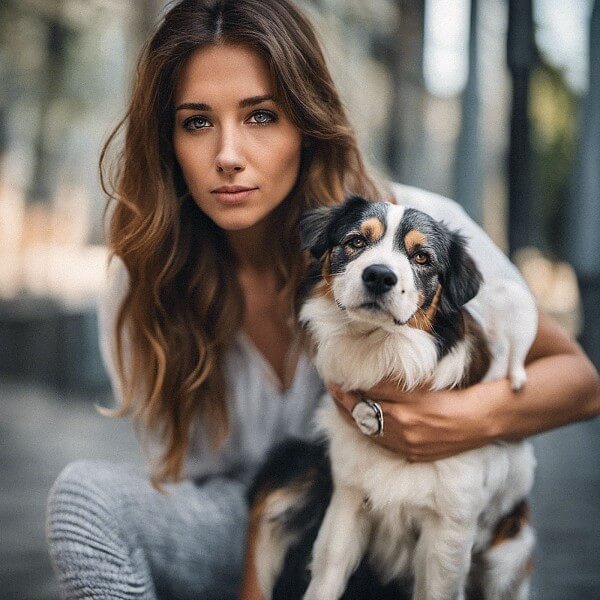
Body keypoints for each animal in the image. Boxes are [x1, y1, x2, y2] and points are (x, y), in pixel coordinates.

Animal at [248, 197, 540, 600]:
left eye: (422, 257)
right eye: (356, 241)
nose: (379, 276)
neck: (381, 349)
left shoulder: (449, 526)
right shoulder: (348, 498)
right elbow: (327, 574)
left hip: (508, 556)